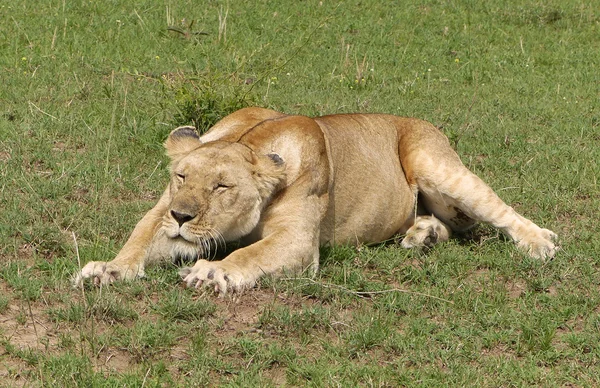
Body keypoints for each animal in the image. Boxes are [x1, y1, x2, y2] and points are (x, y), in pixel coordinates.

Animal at [74, 106, 556, 294]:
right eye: (181, 177)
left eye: (221, 187)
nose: (181, 215)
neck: (252, 139)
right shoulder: (163, 218)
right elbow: (140, 241)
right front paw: (107, 269)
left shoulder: (299, 242)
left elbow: (249, 254)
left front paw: (212, 272)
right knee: (450, 225)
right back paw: (423, 236)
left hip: (433, 161)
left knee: (495, 211)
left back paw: (541, 243)